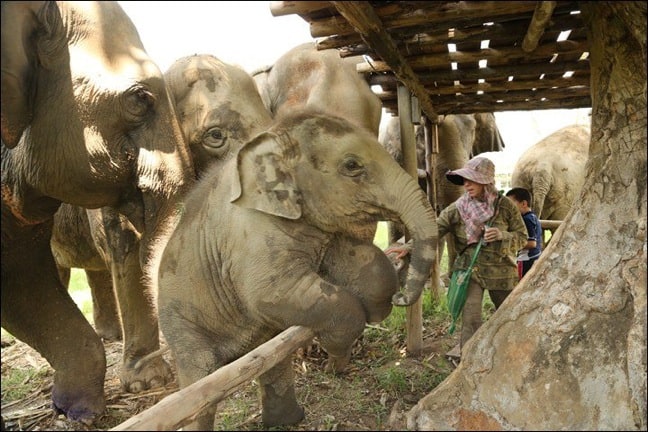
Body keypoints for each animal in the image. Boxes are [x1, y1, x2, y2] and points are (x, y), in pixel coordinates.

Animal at [156, 109, 436, 428]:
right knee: (200, 377)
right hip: (179, 321)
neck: (272, 137)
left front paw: (377, 308)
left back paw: (288, 420)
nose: (403, 298)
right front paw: (337, 349)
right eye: (352, 165)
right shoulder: (250, 234)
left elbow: (362, 262)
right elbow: (267, 293)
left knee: (272, 362)